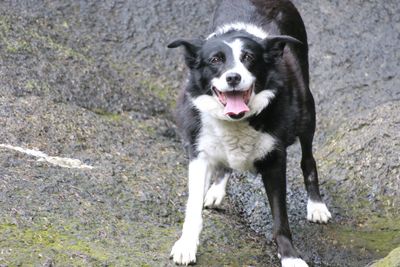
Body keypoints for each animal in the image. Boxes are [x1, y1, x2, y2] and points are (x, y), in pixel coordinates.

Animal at [168, 1, 332, 266]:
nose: (233, 77)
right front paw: (186, 245)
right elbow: (193, 206)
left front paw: (290, 256)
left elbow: (280, 218)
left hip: (307, 114)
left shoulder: (275, 159)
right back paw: (216, 190)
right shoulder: (199, 152)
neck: (236, 121)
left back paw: (316, 205)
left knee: (308, 160)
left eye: (249, 58)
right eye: (215, 59)